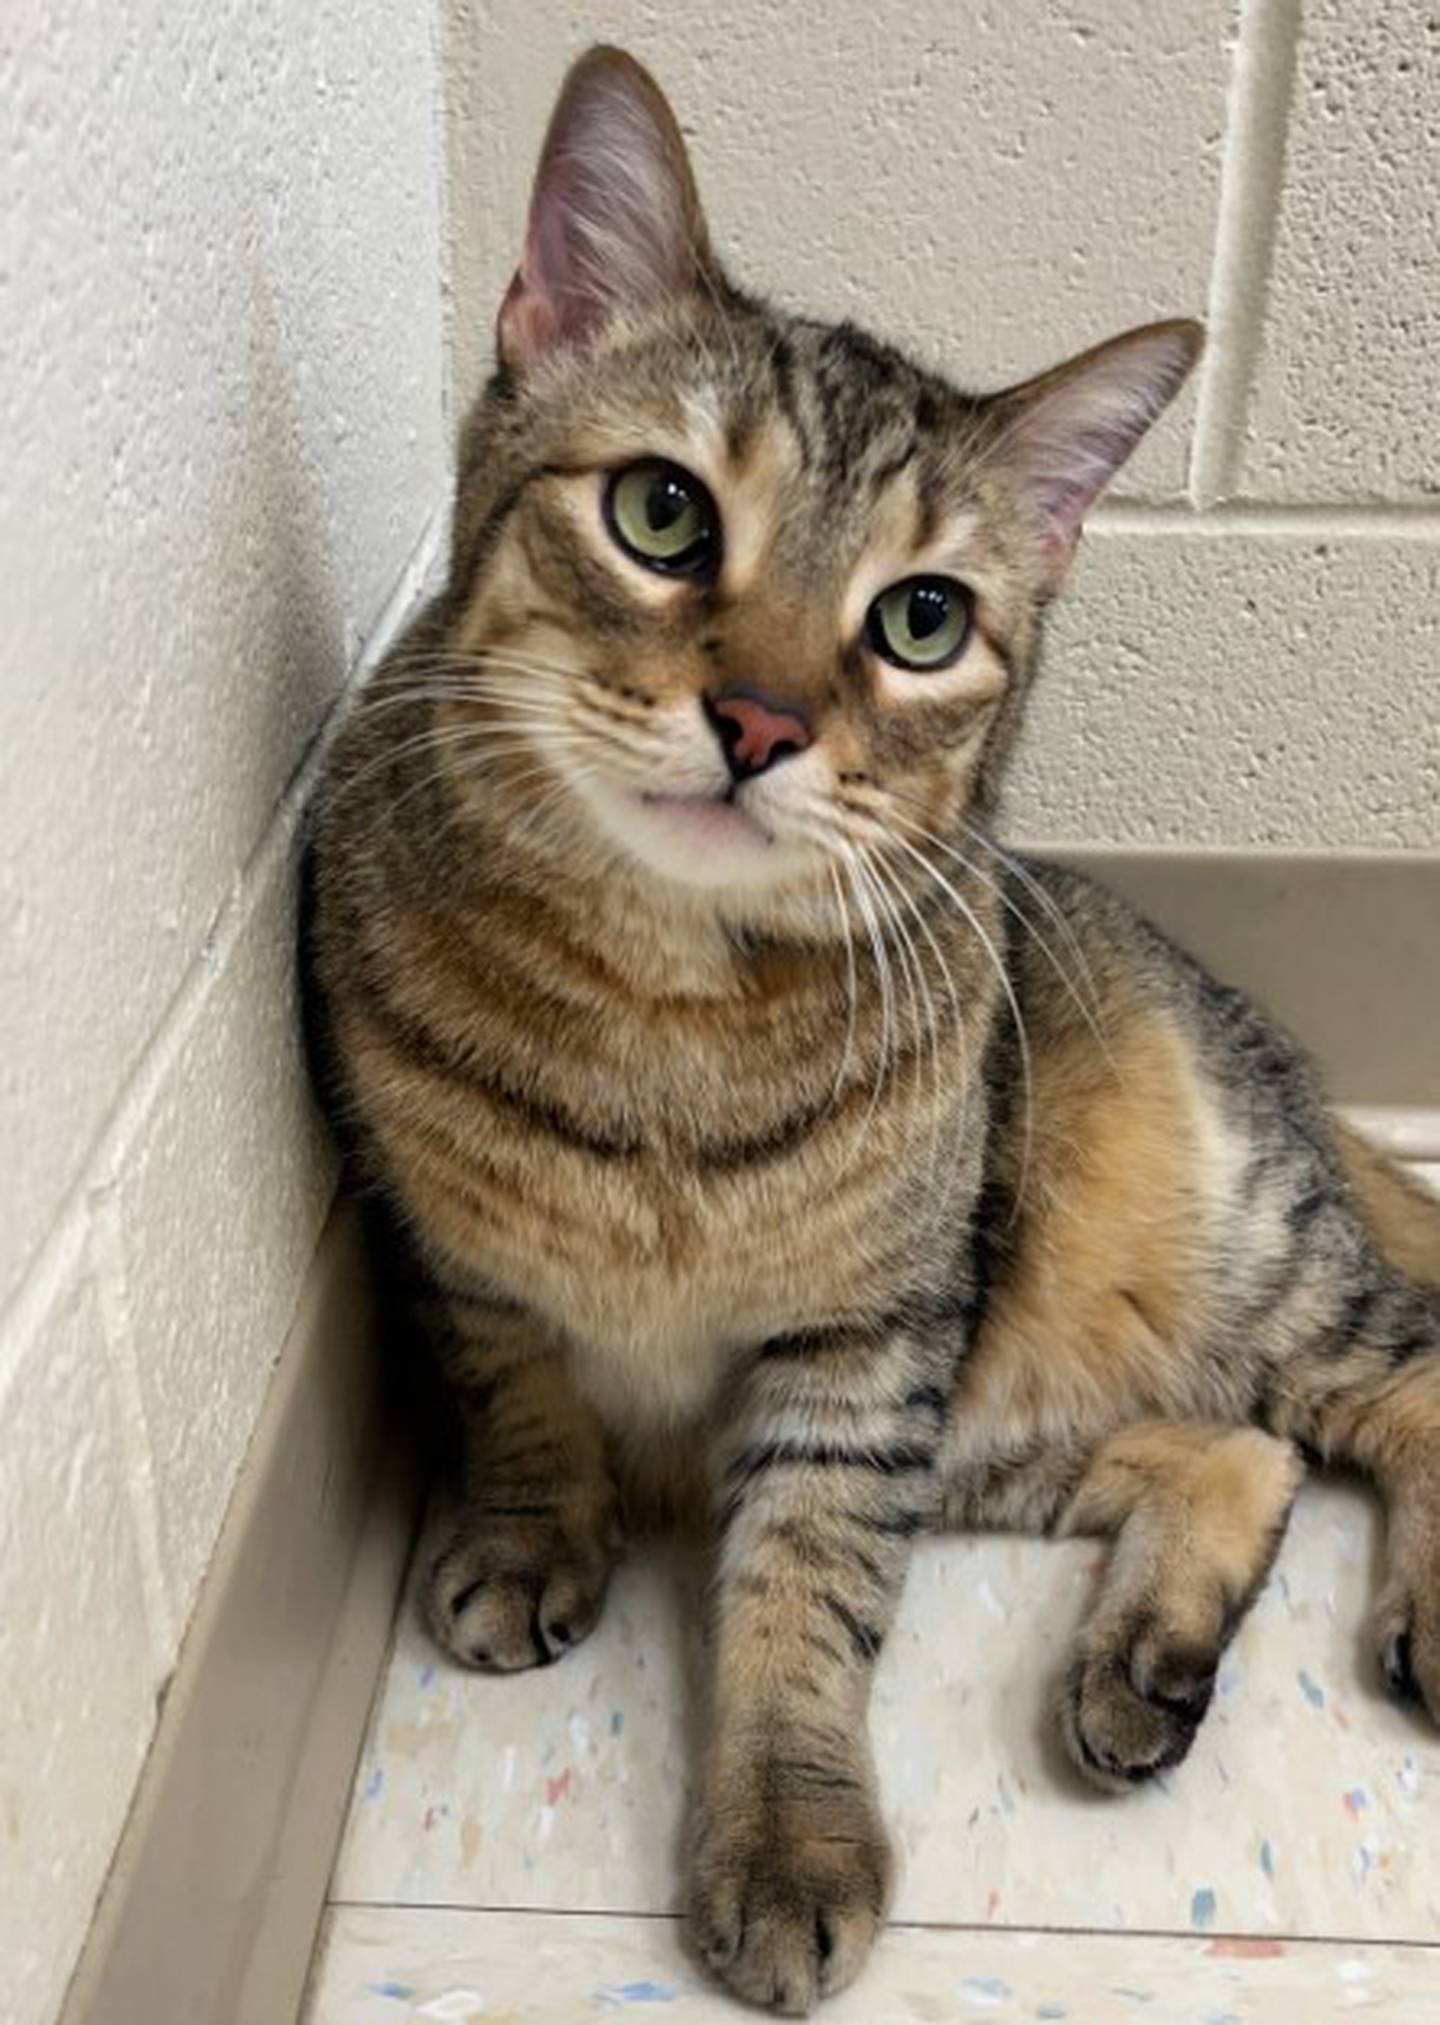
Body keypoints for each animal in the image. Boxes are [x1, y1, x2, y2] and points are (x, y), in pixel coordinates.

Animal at [309, 43, 1440, 2008]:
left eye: (922, 621)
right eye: (662, 513)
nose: (763, 722)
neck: (658, 1007)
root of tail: (1289, 1076)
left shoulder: (859, 1354)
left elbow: (801, 1601)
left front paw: (787, 1833)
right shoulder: (463, 1259)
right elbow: (517, 1393)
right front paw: (530, 1527)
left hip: (1207, 1268)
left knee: (1416, 1376)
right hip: (1009, 1404)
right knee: (1243, 1446)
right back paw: (1147, 1661)